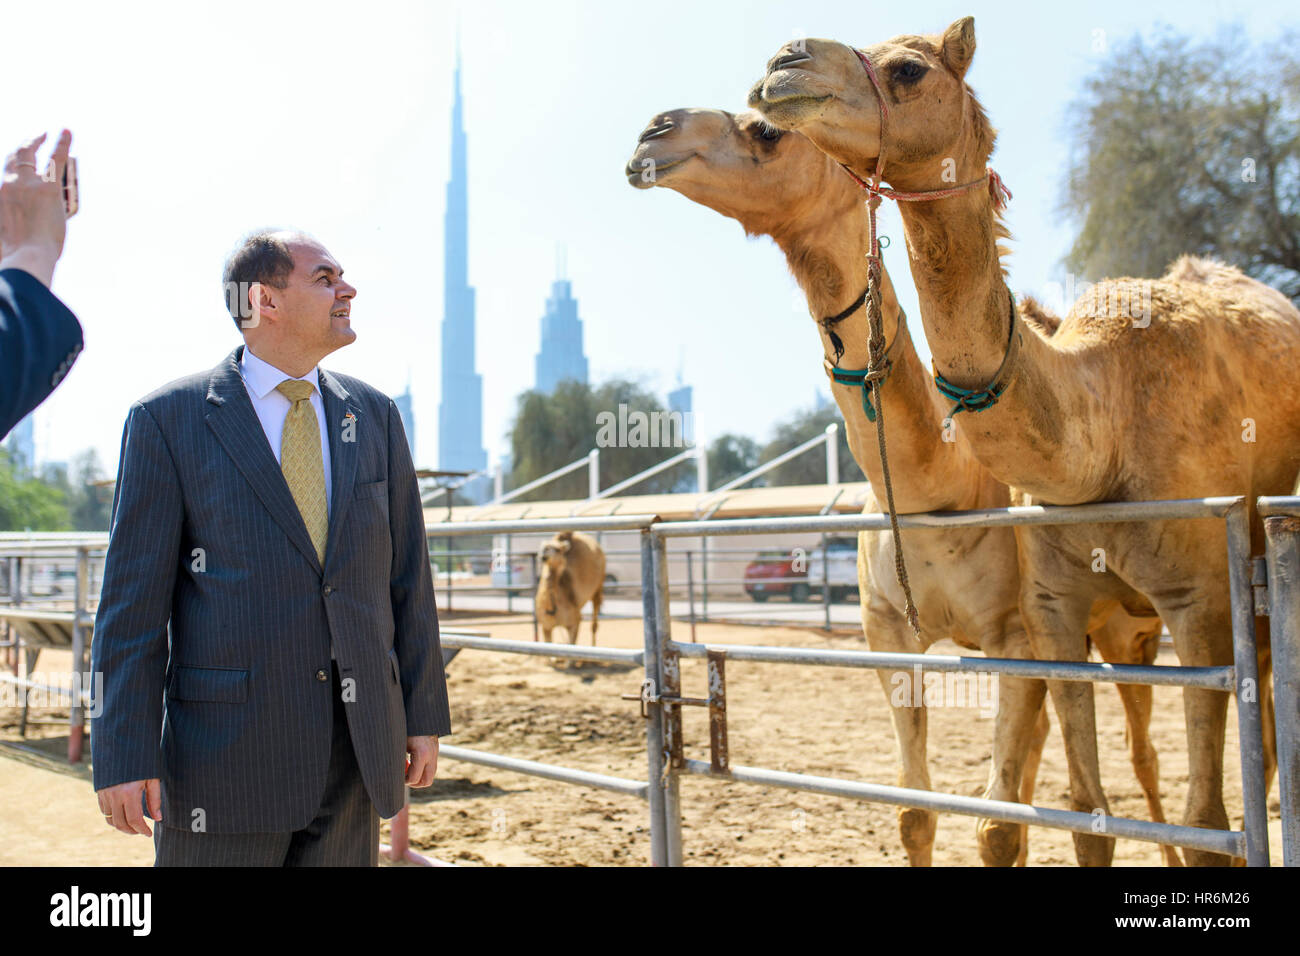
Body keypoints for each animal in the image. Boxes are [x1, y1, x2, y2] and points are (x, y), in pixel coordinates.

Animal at [624, 106, 1185, 868]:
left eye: (765, 129)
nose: (652, 133)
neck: (939, 492)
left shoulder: (1017, 632)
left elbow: (998, 826)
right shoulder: (887, 630)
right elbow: (916, 812)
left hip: (1129, 626)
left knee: (1142, 755)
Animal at [748, 14, 1294, 868]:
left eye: (909, 69)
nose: (782, 63)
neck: (1101, 437)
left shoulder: (1204, 600)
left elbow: (1209, 823)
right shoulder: (1054, 609)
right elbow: (1084, 814)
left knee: (1258, 741)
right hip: (1133, 627)